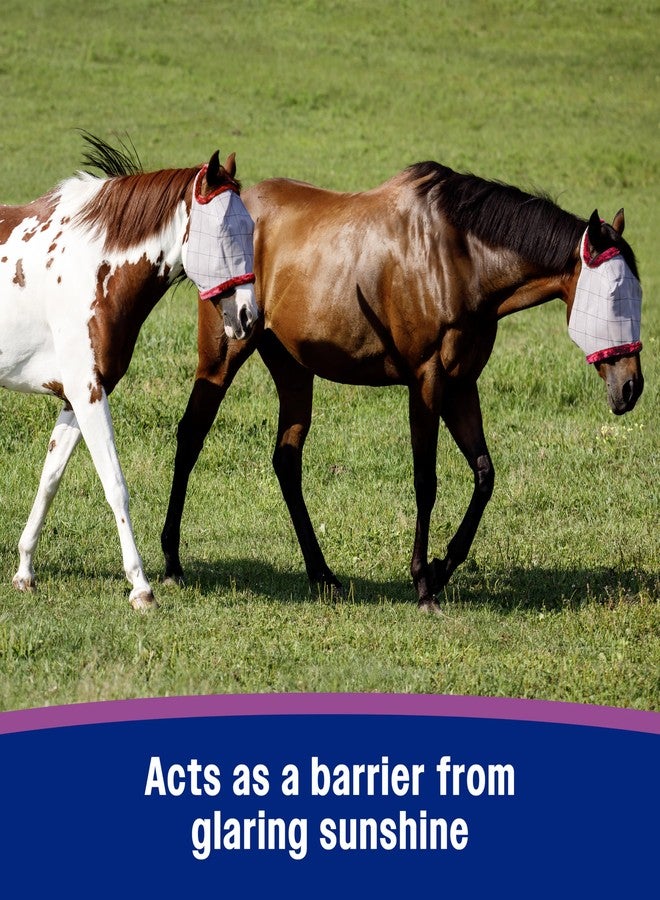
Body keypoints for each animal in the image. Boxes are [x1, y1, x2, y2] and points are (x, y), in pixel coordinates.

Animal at [0, 135, 259, 610]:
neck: (91, 265)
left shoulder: (76, 396)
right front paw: (141, 587)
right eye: (223, 231)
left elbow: (49, 479)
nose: (248, 316)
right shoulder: (88, 394)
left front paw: (24, 571)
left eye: (251, 227)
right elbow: (115, 485)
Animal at [158, 161, 644, 612]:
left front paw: (441, 567)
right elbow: (425, 481)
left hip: (293, 370)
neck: (459, 260)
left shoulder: (461, 385)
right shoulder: (426, 383)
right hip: (222, 354)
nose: (631, 387)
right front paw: (423, 583)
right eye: (613, 295)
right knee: (191, 437)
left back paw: (322, 574)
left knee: (286, 462)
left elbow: (484, 475)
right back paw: (172, 563)